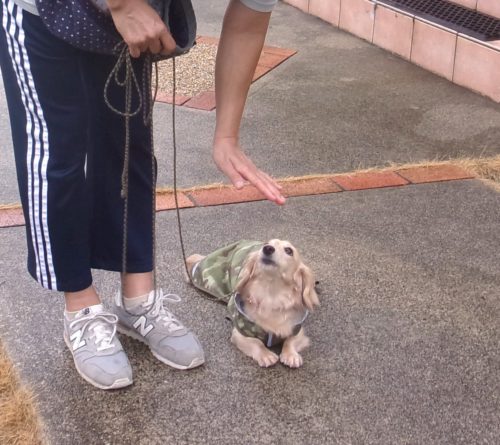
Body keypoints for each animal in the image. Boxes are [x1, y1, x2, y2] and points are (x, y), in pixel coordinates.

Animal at [186, 239, 319, 368]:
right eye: (267, 243)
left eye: (289, 251)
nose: (267, 248)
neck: (271, 295)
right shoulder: (240, 333)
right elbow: (257, 343)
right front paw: (266, 355)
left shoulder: (297, 329)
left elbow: (290, 341)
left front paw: (291, 355)